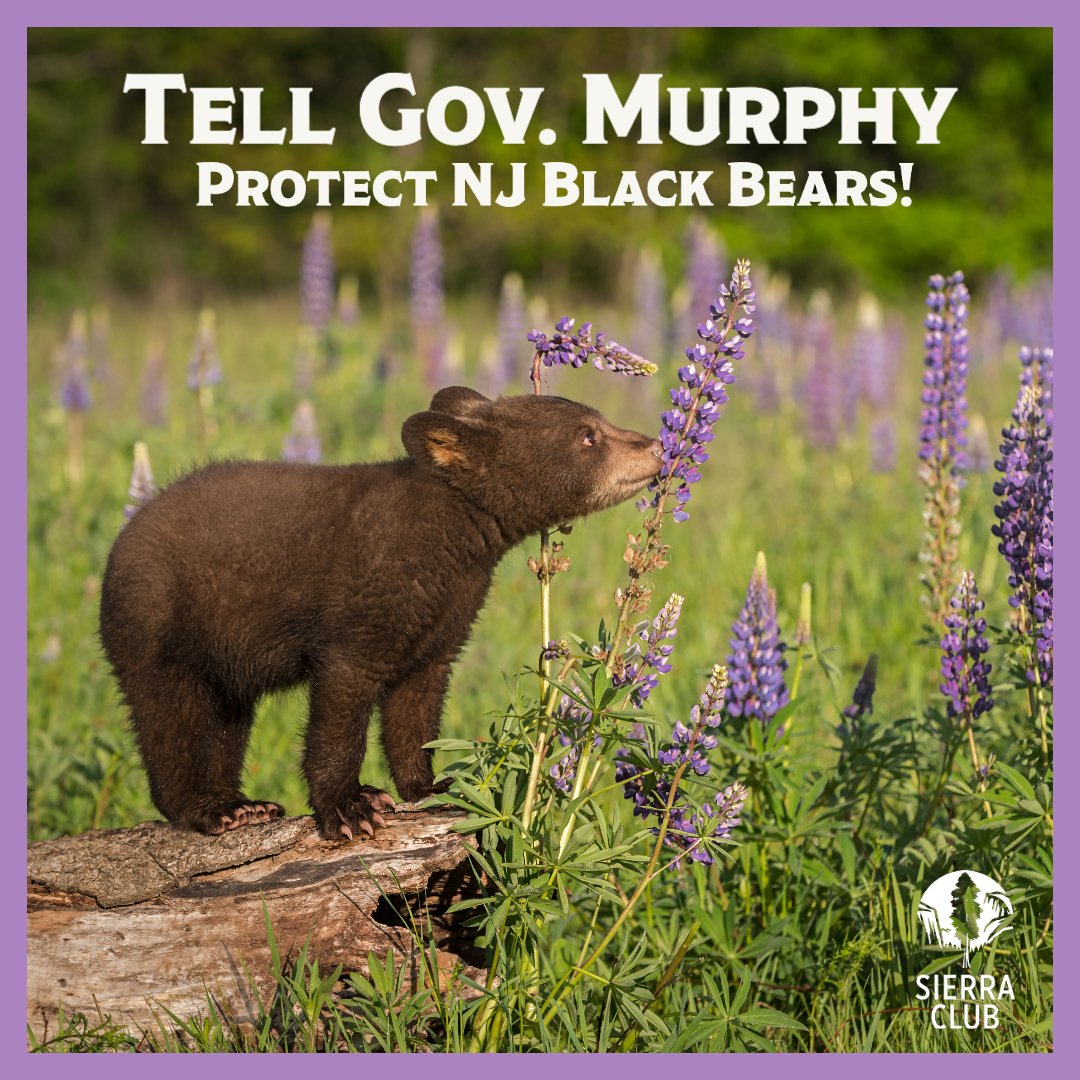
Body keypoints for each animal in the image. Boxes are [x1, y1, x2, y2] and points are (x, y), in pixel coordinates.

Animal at [99, 386, 662, 841]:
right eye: (587, 435)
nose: (656, 445)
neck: (452, 537)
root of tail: (120, 541)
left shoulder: (444, 617)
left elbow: (416, 707)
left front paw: (433, 787)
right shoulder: (365, 609)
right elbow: (340, 710)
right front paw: (350, 808)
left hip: (224, 663)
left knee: (226, 723)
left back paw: (244, 805)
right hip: (158, 630)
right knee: (170, 720)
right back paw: (209, 810)